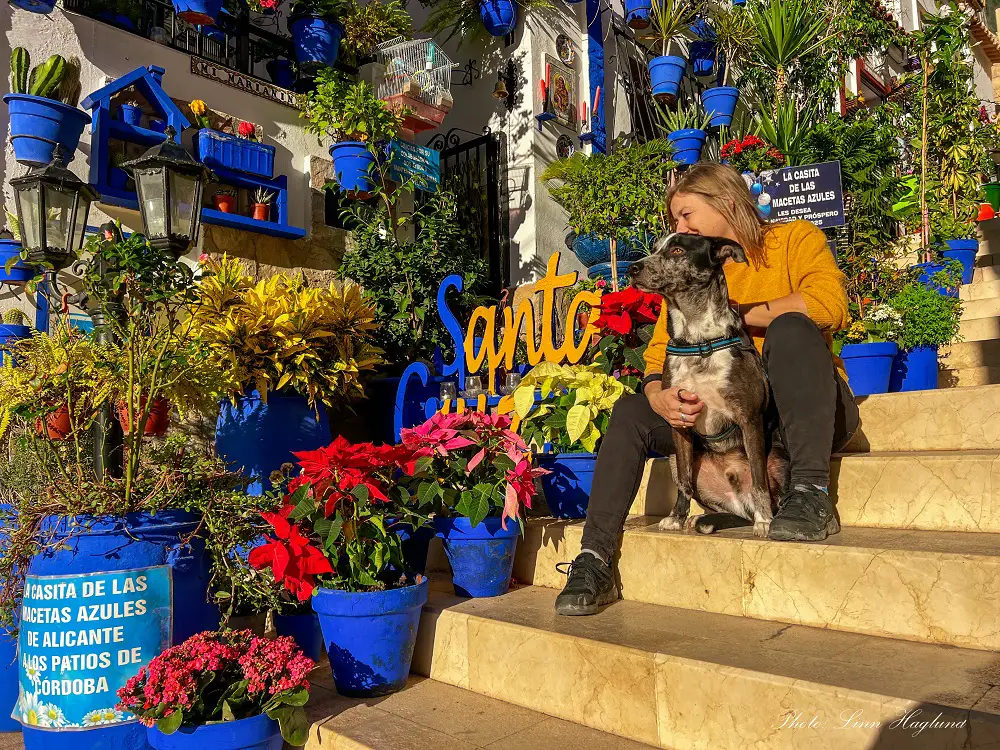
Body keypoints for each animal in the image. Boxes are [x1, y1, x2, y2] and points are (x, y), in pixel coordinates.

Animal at [632, 235, 788, 540]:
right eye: (655, 248)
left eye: (677, 250)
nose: (633, 268)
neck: (698, 340)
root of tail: (741, 500)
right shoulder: (679, 420)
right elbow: (684, 482)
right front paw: (676, 518)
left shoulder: (749, 417)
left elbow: (759, 479)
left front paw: (764, 521)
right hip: (674, 459)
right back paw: (702, 519)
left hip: (779, 456)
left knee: (769, 493)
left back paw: (769, 517)